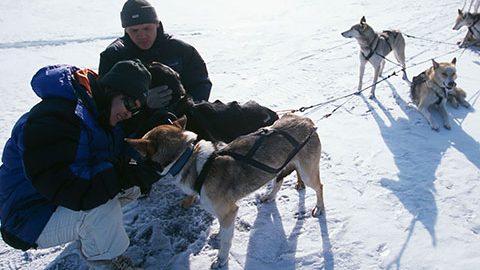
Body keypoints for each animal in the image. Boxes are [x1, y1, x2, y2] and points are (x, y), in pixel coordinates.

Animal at [125, 113, 324, 266]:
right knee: (279, 180)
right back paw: (270, 196)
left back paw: (319, 208)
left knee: (319, 187)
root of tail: (306, 120)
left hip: (307, 172)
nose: (130, 163)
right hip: (277, 167)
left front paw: (221, 260)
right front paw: (218, 234)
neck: (189, 161)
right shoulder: (220, 211)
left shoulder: (229, 211)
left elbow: (226, 241)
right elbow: (222, 230)